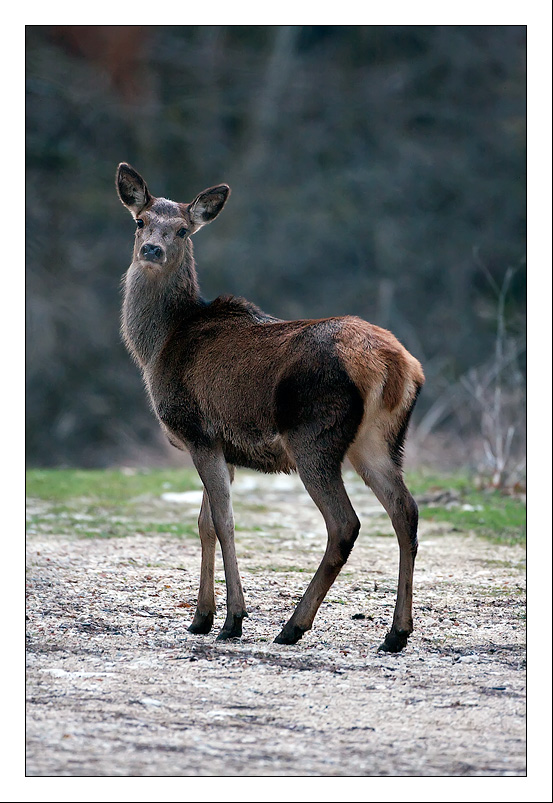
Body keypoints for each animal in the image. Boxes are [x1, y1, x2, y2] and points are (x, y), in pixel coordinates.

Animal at [116, 163, 424, 652]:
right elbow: (204, 523)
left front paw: (232, 620)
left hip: (314, 436)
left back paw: (293, 625)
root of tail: (398, 366)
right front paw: (200, 617)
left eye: (182, 229)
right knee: (404, 511)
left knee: (345, 523)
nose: (152, 249)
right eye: (140, 221)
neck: (158, 346)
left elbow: (224, 522)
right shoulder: (222, 448)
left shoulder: (198, 431)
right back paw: (395, 633)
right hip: (378, 441)